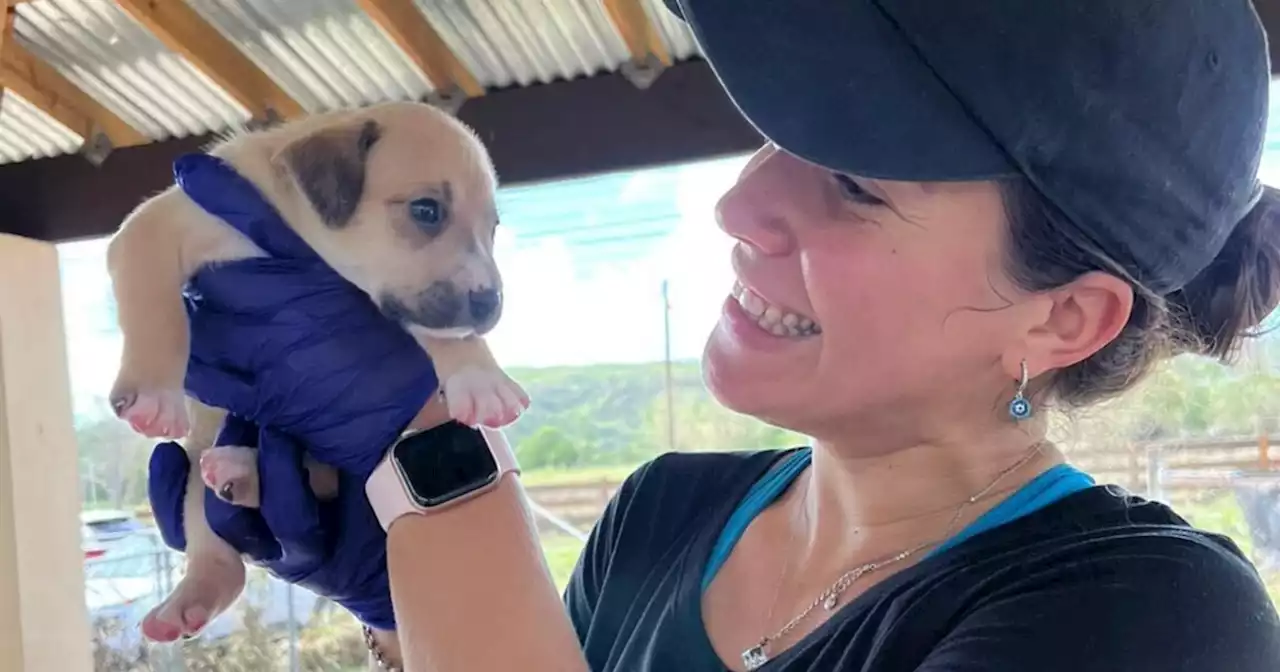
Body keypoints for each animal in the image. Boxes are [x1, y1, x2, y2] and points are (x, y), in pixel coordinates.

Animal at [106, 99, 529, 640]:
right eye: (426, 210)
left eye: (492, 228)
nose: (490, 303)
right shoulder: (161, 227)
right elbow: (157, 309)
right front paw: (154, 395)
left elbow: (446, 335)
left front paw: (482, 379)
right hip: (191, 473)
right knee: (221, 552)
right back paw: (189, 592)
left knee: (307, 488)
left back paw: (239, 471)